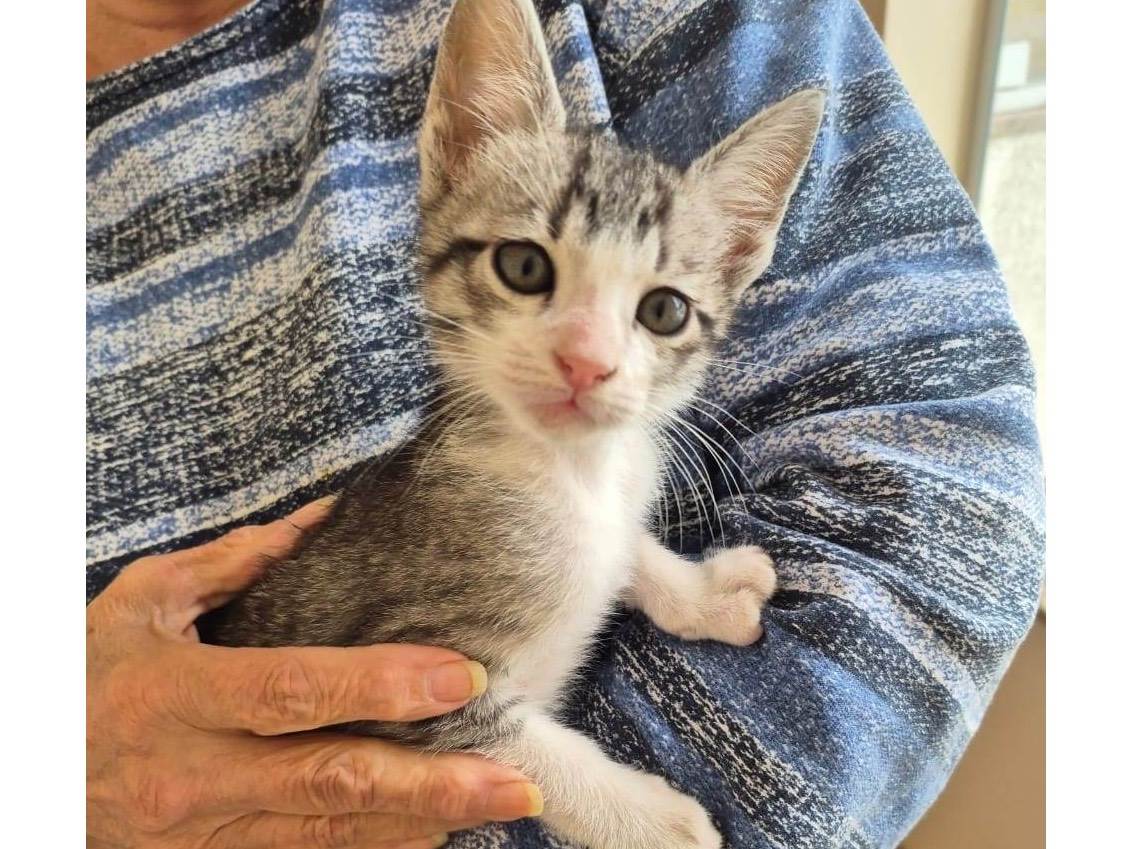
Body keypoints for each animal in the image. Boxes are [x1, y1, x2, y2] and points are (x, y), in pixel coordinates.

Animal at [201, 0, 823, 846]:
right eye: (524, 266)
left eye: (664, 310)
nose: (586, 360)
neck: (568, 475)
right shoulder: (405, 676)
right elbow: (528, 751)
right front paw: (649, 816)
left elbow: (631, 546)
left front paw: (703, 591)